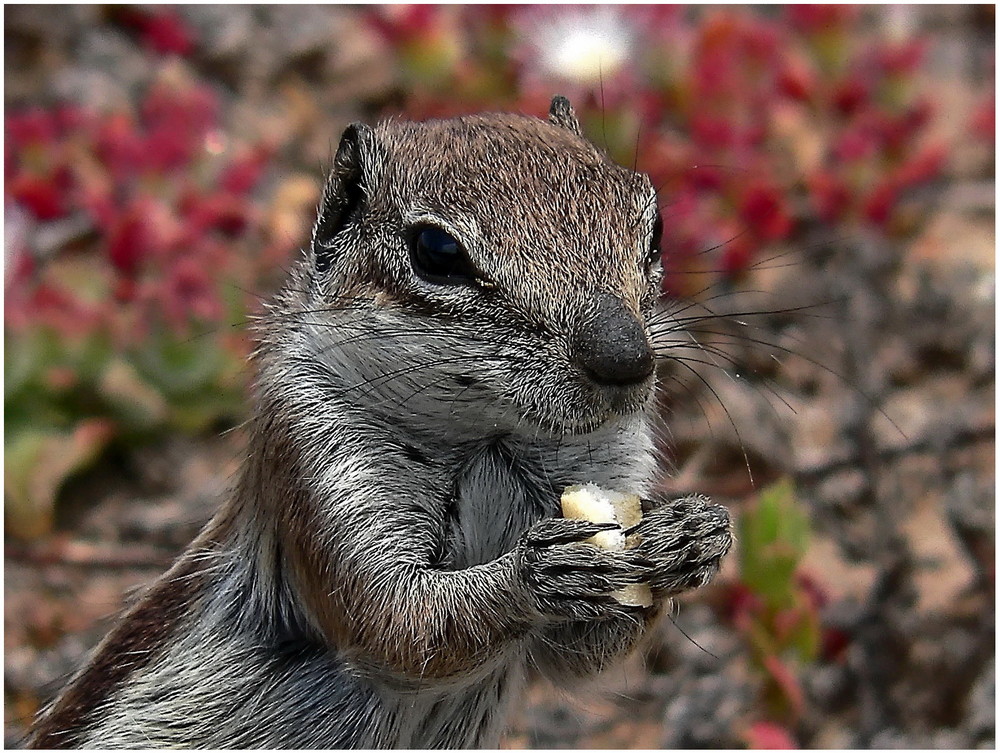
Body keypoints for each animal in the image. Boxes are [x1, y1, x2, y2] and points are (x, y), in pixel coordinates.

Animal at [29, 97, 736, 748]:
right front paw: (537, 573)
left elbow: (581, 656)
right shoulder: (315, 459)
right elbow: (395, 624)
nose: (626, 358)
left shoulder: (613, 457)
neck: (487, 437)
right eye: (436, 252)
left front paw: (693, 534)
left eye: (655, 226)